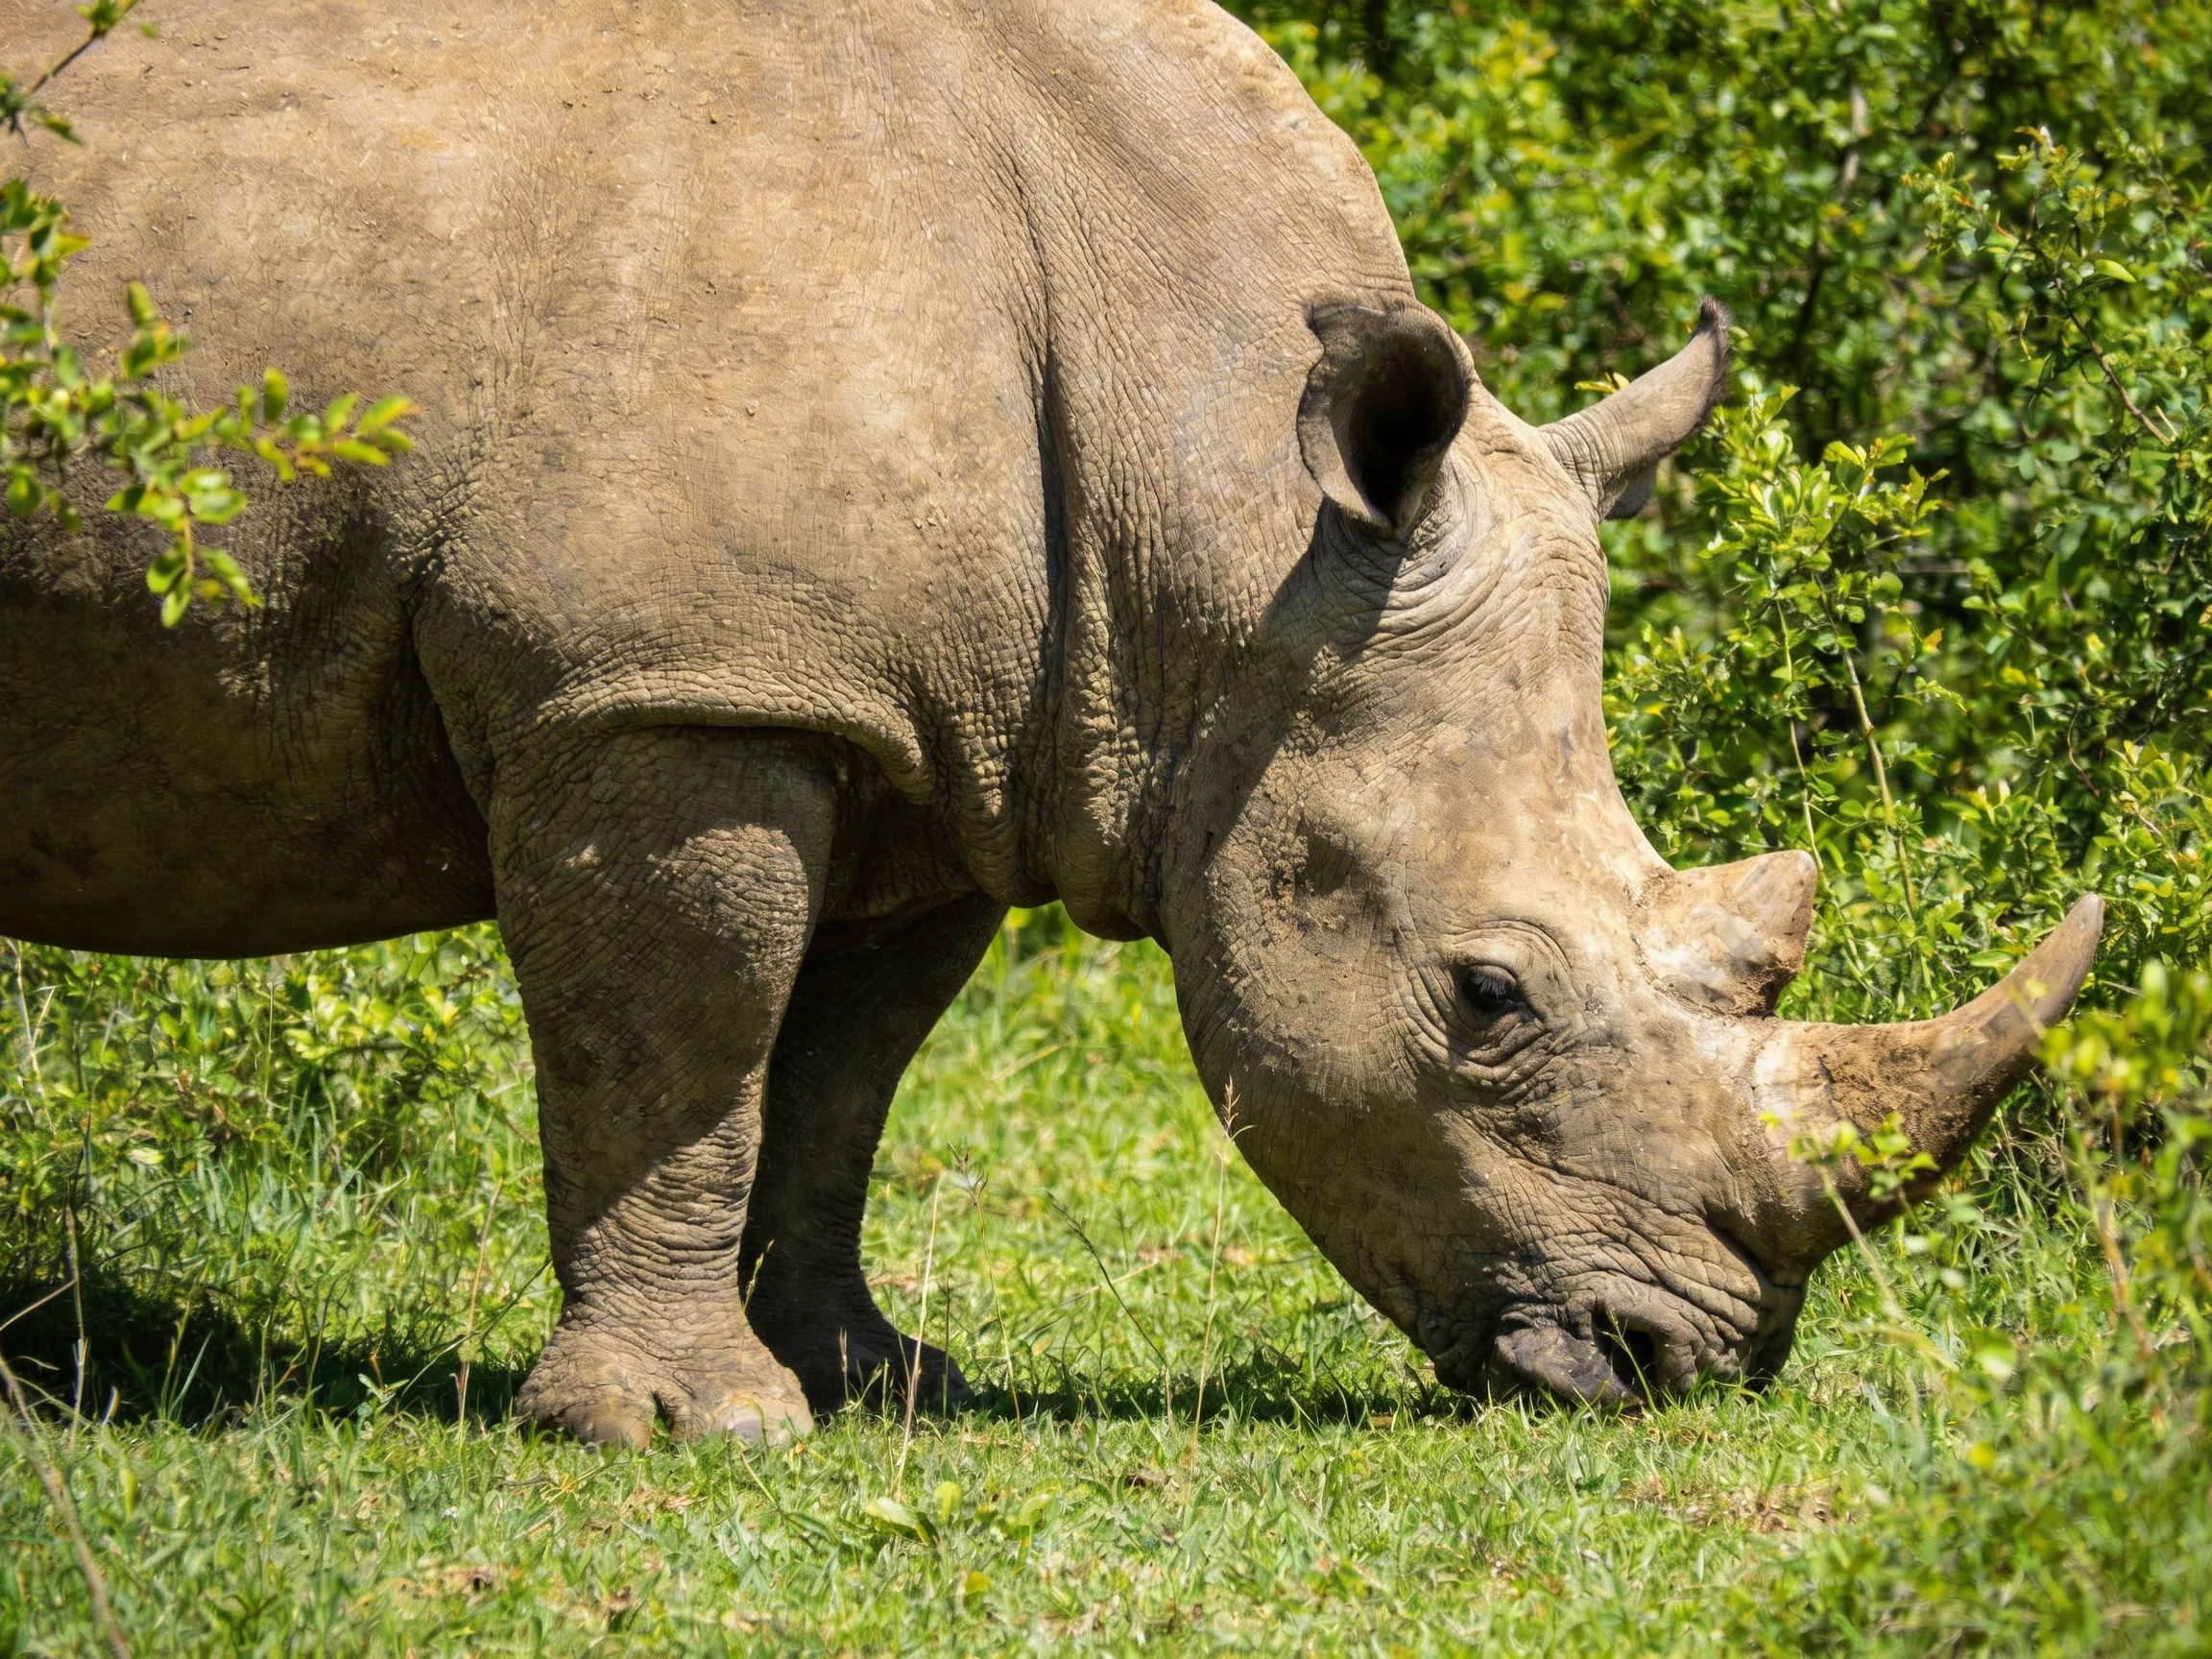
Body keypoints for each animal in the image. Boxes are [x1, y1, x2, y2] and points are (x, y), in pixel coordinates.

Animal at [1, 0, 2099, 1445]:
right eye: (1486, 997)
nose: (1688, 1361)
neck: (1236, 506)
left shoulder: (933, 727)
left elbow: (836, 1073)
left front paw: (874, 1378)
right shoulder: (666, 687)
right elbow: (682, 1053)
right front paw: (696, 1429)